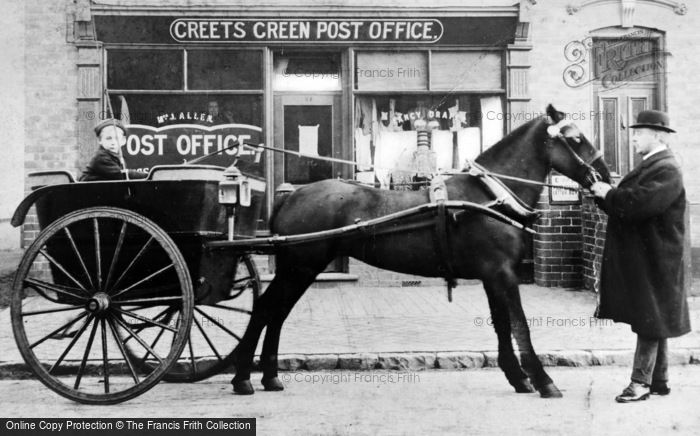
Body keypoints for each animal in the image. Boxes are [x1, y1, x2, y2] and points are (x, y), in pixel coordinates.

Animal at [232, 104, 608, 396]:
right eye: (575, 138)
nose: (605, 175)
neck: (491, 195)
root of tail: (292, 194)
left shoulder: (493, 275)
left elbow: (502, 325)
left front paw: (518, 377)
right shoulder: (501, 272)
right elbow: (520, 325)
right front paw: (544, 381)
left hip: (299, 269)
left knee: (276, 313)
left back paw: (269, 377)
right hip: (300, 266)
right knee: (265, 309)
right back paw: (243, 378)